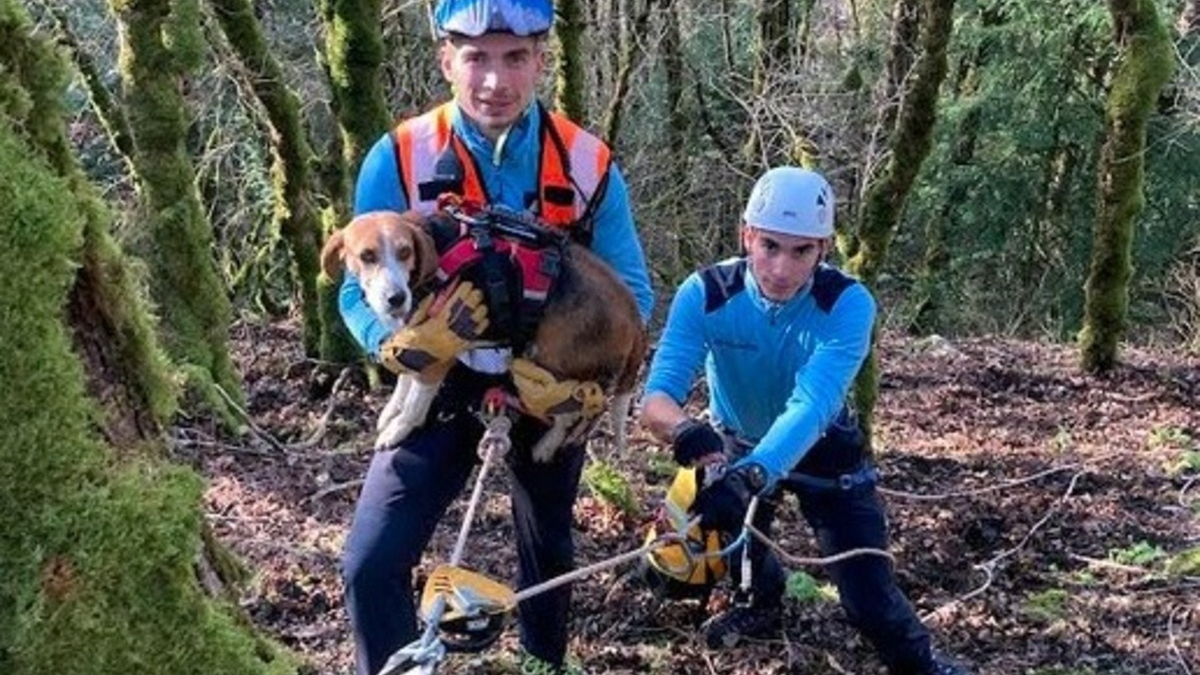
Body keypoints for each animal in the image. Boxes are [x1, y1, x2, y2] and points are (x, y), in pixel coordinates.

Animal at [321, 208, 648, 456]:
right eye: (367, 256)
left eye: (405, 252)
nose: (397, 299)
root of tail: (634, 313)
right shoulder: (417, 342)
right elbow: (405, 380)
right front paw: (391, 411)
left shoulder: (438, 358)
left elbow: (415, 402)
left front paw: (397, 430)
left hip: (553, 364)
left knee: (584, 409)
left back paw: (547, 446)